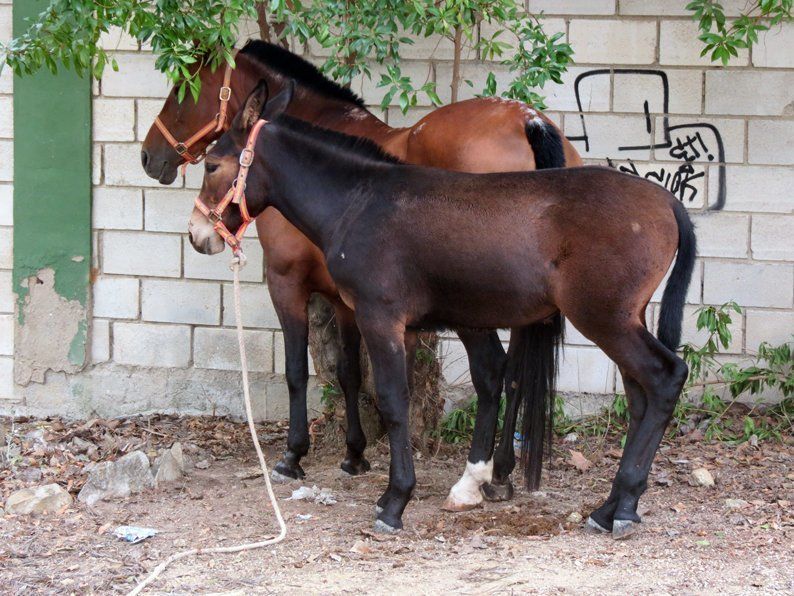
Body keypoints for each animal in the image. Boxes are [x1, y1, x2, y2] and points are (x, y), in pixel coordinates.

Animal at [142, 39, 580, 500]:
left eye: (182, 90)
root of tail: (529, 120)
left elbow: (297, 371)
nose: (148, 156)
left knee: (495, 373)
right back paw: (502, 472)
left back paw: (481, 475)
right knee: (514, 375)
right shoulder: (347, 300)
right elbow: (349, 373)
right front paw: (355, 453)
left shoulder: (287, 282)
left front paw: (293, 455)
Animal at [186, 80, 692, 536]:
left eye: (211, 164)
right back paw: (612, 507)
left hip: (604, 319)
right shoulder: (397, 325)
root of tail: (667, 201)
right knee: (639, 396)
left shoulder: (378, 317)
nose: (196, 235)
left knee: (666, 378)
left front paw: (393, 502)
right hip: (623, 319)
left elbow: (392, 402)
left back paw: (618, 506)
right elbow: (400, 397)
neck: (357, 201)